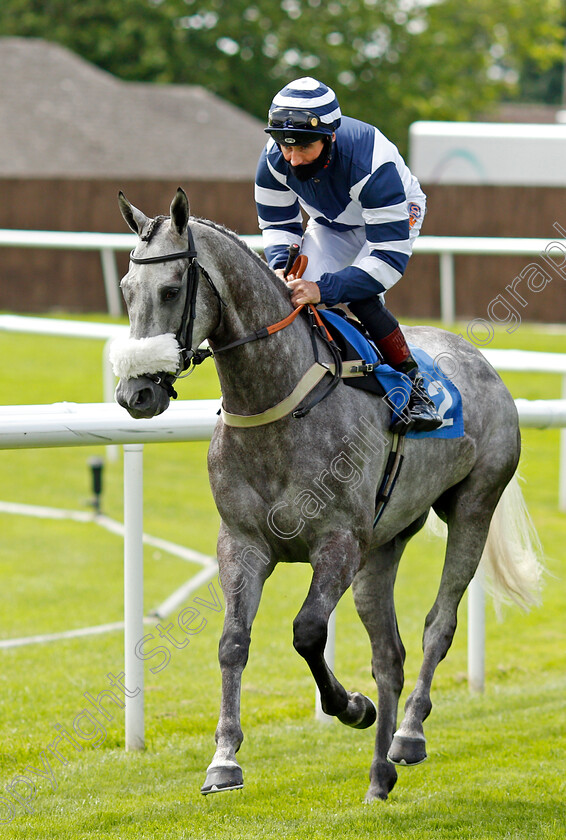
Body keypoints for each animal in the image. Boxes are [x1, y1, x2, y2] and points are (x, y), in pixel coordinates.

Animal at [111, 187, 540, 804]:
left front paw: (350, 706)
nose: (136, 393)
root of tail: (477, 358)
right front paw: (223, 759)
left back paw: (408, 735)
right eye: (125, 290)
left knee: (438, 624)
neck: (276, 406)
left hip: (473, 507)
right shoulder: (241, 544)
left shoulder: (337, 543)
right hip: (384, 544)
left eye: (170, 290)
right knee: (390, 654)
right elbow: (232, 642)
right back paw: (379, 773)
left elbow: (308, 632)